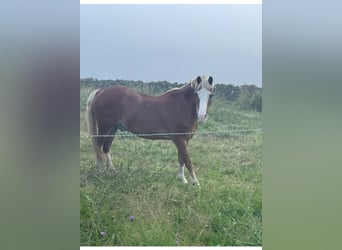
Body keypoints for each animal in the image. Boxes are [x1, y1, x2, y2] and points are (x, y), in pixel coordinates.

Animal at [85, 75, 214, 185]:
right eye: (196, 94)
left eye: (211, 95)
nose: (201, 116)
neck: (181, 106)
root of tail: (101, 91)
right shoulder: (180, 139)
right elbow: (188, 161)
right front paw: (195, 183)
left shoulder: (185, 140)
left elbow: (181, 159)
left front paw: (182, 180)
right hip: (105, 128)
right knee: (98, 147)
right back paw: (100, 172)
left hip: (113, 128)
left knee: (106, 148)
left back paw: (112, 170)